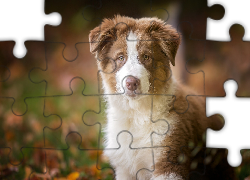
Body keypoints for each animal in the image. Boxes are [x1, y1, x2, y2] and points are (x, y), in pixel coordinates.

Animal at [89, 15, 235, 180]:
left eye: (146, 57)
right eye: (120, 57)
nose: (131, 83)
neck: (137, 114)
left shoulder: (168, 164)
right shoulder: (125, 169)